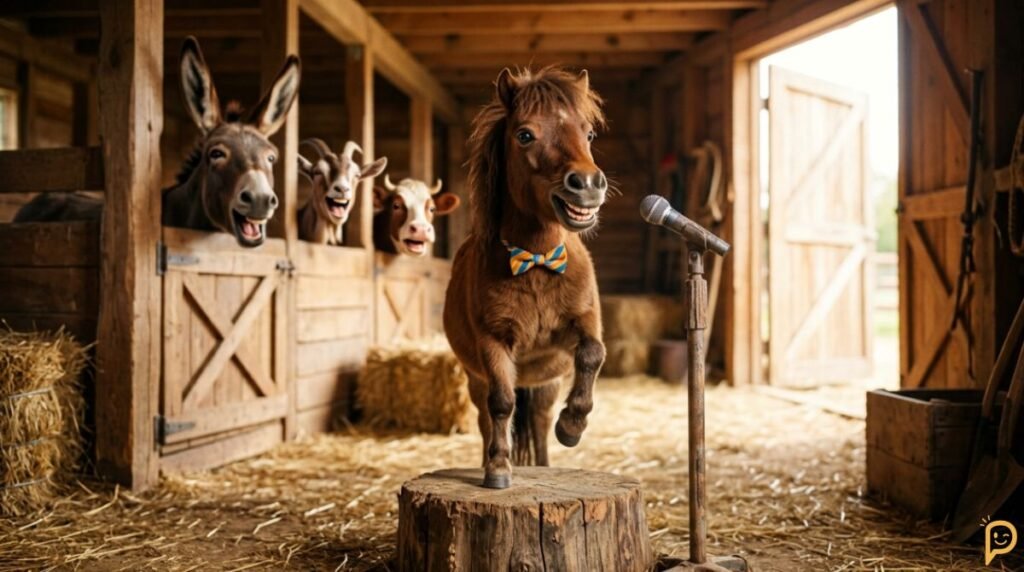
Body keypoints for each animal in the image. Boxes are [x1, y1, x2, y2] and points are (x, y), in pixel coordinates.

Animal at [443, 67, 609, 489]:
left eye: (588, 134)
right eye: (525, 135)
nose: (587, 184)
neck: (536, 263)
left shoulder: (579, 327)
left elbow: (593, 354)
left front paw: (573, 426)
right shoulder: (493, 344)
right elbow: (502, 404)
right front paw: (498, 468)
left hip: (545, 384)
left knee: (539, 421)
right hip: (475, 378)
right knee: (488, 418)